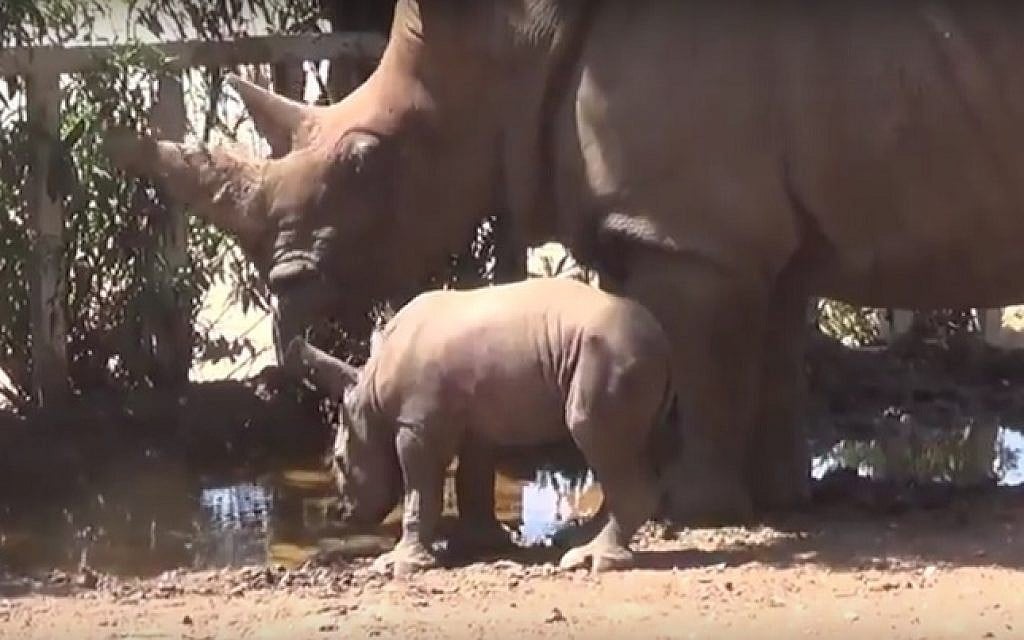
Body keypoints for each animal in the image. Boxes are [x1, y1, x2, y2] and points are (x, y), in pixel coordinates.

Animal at [105, 1, 1024, 523]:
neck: (509, 43)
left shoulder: (689, 236)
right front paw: (775, 503)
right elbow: (761, 361)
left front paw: (692, 514)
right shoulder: (730, 235)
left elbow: (708, 370)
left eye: (366, 163)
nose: (284, 286)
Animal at [282, 277, 677, 575]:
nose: (347, 514)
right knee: (617, 452)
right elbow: (472, 478)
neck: (370, 395)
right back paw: (576, 542)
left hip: (611, 355)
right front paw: (476, 544)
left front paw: (399, 566)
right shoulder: (476, 424)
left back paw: (589, 559)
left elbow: (420, 490)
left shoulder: (418, 426)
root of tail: (663, 341)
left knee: (592, 434)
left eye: (338, 460)